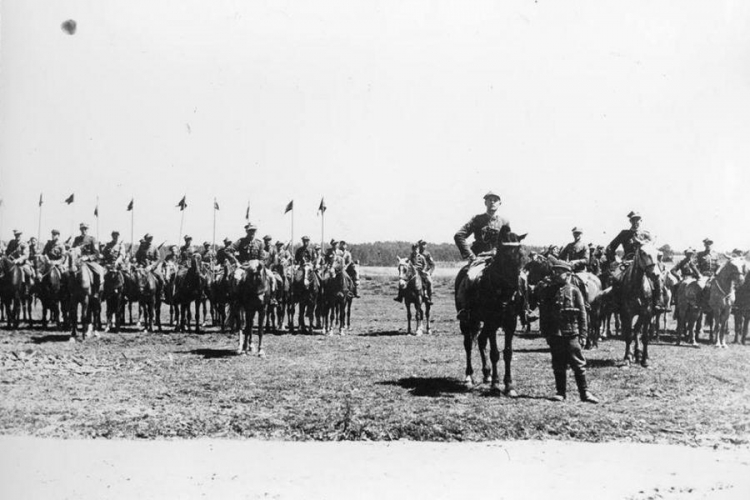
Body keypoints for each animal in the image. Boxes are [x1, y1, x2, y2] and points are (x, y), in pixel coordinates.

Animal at [452, 231, 528, 394]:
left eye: (521, 254)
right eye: (503, 254)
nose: (515, 288)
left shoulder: (510, 322)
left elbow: (508, 353)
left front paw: (508, 385)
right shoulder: (492, 321)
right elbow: (494, 353)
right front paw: (495, 384)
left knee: (481, 340)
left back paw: (487, 373)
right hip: (467, 321)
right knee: (468, 344)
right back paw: (469, 377)